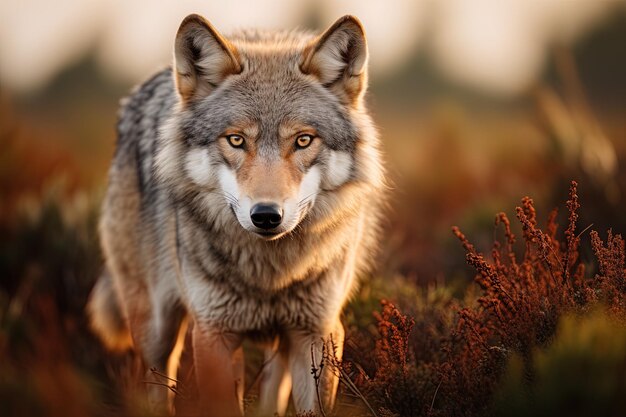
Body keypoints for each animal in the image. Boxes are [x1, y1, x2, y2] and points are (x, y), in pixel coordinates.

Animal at [86, 13, 382, 416]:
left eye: (303, 140)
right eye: (236, 140)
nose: (267, 215)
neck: (269, 275)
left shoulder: (318, 333)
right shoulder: (213, 334)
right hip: (157, 329)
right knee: (156, 384)